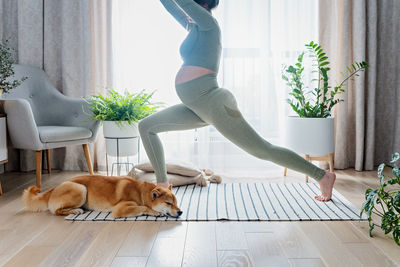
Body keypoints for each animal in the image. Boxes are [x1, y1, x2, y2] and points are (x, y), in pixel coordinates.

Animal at [22, 175, 182, 219]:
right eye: (168, 203)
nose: (180, 212)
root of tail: (54, 188)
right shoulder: (119, 209)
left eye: (176, 202)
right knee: (56, 211)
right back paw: (75, 211)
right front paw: (155, 212)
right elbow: (142, 207)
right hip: (81, 189)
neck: (140, 192)